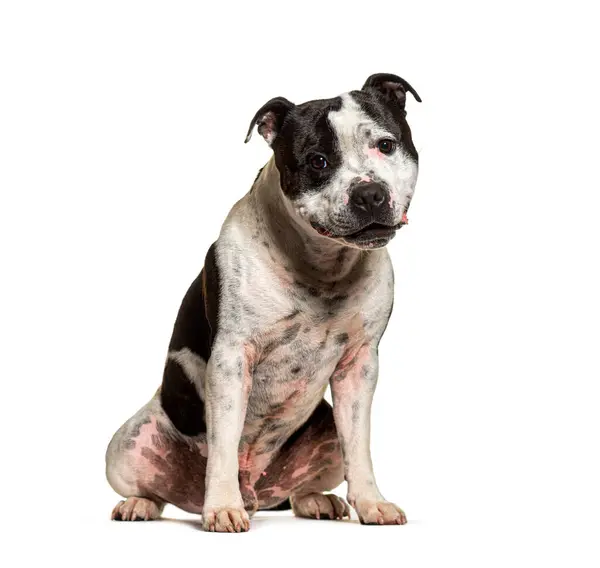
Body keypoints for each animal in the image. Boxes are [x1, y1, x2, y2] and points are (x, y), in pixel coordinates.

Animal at [104, 73, 422, 532]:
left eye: (385, 144)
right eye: (317, 161)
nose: (369, 193)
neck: (323, 265)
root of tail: (256, 492)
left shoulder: (360, 365)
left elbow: (359, 446)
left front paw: (371, 503)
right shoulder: (231, 360)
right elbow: (223, 441)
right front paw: (222, 506)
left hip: (325, 433)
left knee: (306, 483)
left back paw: (318, 501)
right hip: (126, 446)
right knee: (154, 490)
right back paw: (142, 505)